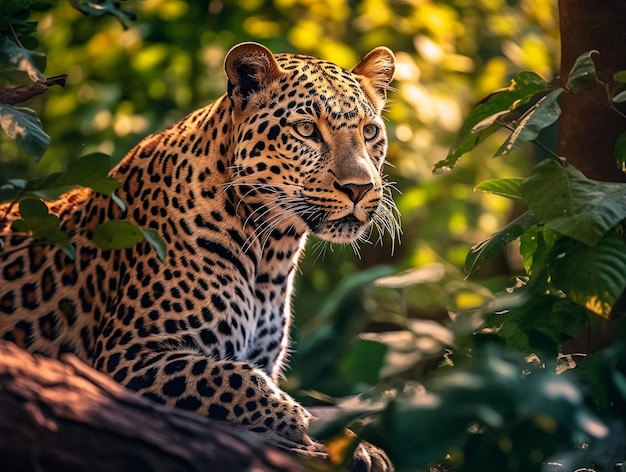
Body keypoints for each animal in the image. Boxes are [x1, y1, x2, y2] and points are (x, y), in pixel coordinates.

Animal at [0, 42, 398, 470]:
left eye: (370, 132)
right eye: (307, 129)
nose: (360, 188)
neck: (271, 252)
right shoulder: (126, 355)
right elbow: (242, 380)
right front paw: (327, 435)